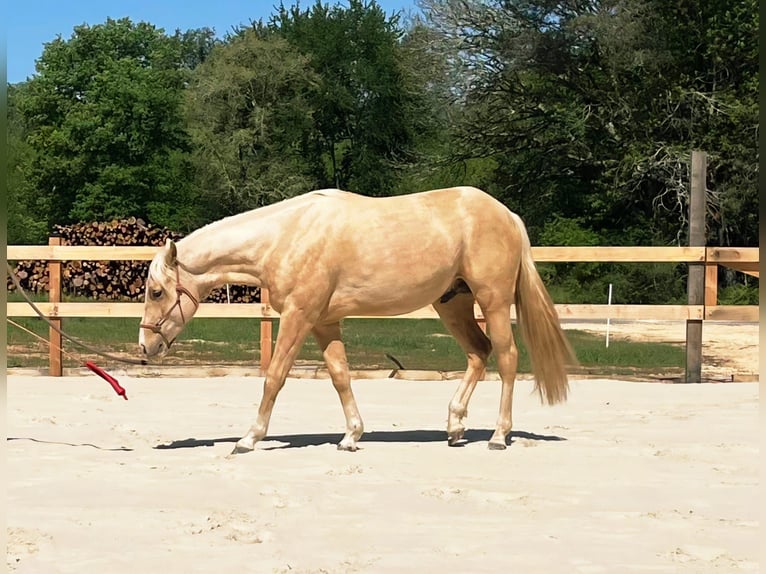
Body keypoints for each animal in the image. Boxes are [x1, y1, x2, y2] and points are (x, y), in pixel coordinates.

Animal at [138, 186, 576, 454]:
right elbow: (340, 376)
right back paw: (454, 428)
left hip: (494, 301)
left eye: (157, 292)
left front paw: (248, 438)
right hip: (452, 304)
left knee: (506, 357)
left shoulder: (299, 316)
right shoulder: (323, 322)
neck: (287, 237)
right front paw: (350, 436)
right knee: (478, 353)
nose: (146, 346)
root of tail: (507, 214)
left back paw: (499, 436)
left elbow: (274, 377)